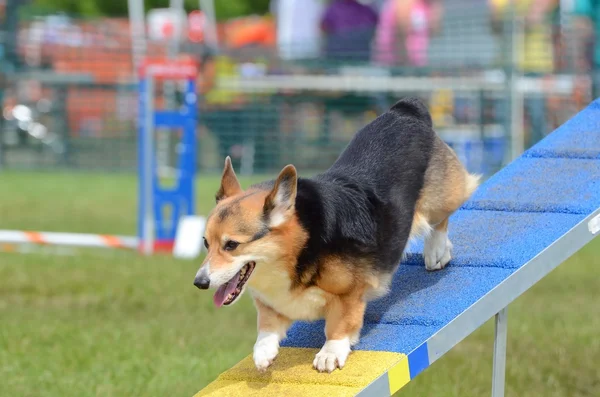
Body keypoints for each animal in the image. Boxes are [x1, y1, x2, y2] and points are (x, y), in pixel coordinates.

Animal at [192, 96, 478, 372]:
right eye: (206, 243)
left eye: (231, 245)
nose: (199, 283)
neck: (298, 249)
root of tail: (405, 110)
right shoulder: (273, 303)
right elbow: (266, 325)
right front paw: (263, 353)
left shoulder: (349, 293)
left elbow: (340, 324)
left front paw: (330, 353)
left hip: (438, 200)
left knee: (441, 217)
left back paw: (436, 251)